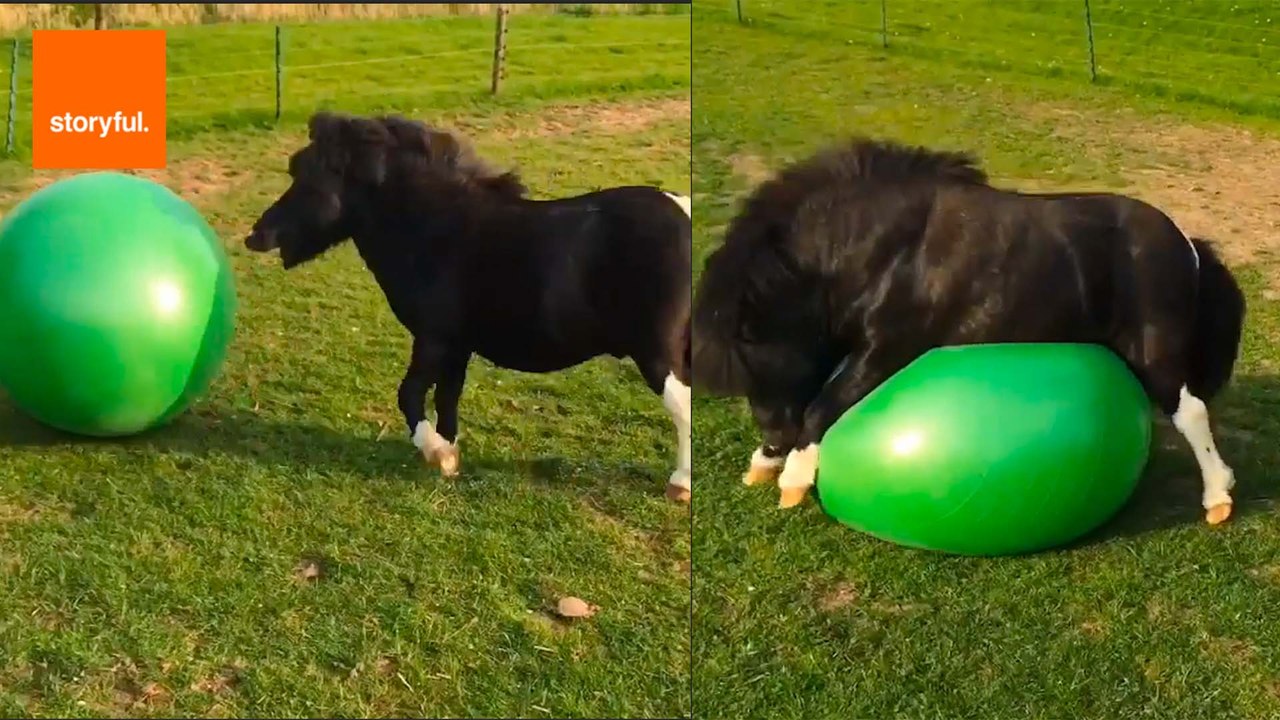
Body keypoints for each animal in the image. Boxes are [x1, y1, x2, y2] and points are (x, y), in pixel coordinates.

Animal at [245, 112, 693, 502]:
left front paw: (437, 455)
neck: (437, 229)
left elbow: (409, 394)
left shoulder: (433, 339)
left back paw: (680, 485)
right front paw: (451, 455)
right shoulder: (457, 346)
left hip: (657, 352)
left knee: (682, 405)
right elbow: (448, 398)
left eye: (307, 175)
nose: (256, 235)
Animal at [692, 137, 1246, 523]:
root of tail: (1186, 245)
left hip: (1154, 351)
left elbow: (821, 408)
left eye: (752, 348)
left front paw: (793, 478)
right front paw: (766, 466)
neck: (880, 246)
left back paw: (1218, 497)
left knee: (1190, 412)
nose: (772, 439)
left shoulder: (884, 350)